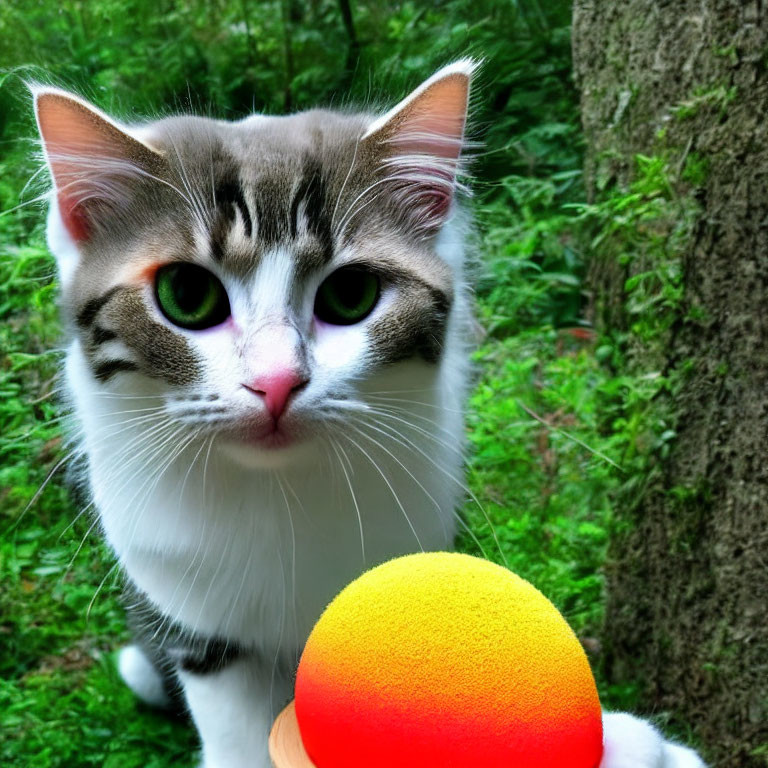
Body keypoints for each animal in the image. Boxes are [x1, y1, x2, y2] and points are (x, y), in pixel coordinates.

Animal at [33, 61, 704, 768]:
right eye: (187, 295)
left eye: (350, 294)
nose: (276, 383)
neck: (279, 497)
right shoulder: (196, 618)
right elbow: (237, 725)